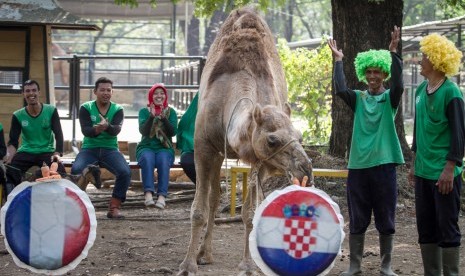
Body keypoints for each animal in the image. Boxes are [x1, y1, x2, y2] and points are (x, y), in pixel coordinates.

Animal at [178, 6, 312, 276]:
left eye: (300, 136)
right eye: (272, 140)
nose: (306, 169)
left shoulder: (261, 161)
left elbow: (251, 213)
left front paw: (248, 265)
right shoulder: (204, 147)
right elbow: (198, 210)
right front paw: (187, 265)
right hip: (218, 153)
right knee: (214, 197)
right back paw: (203, 254)